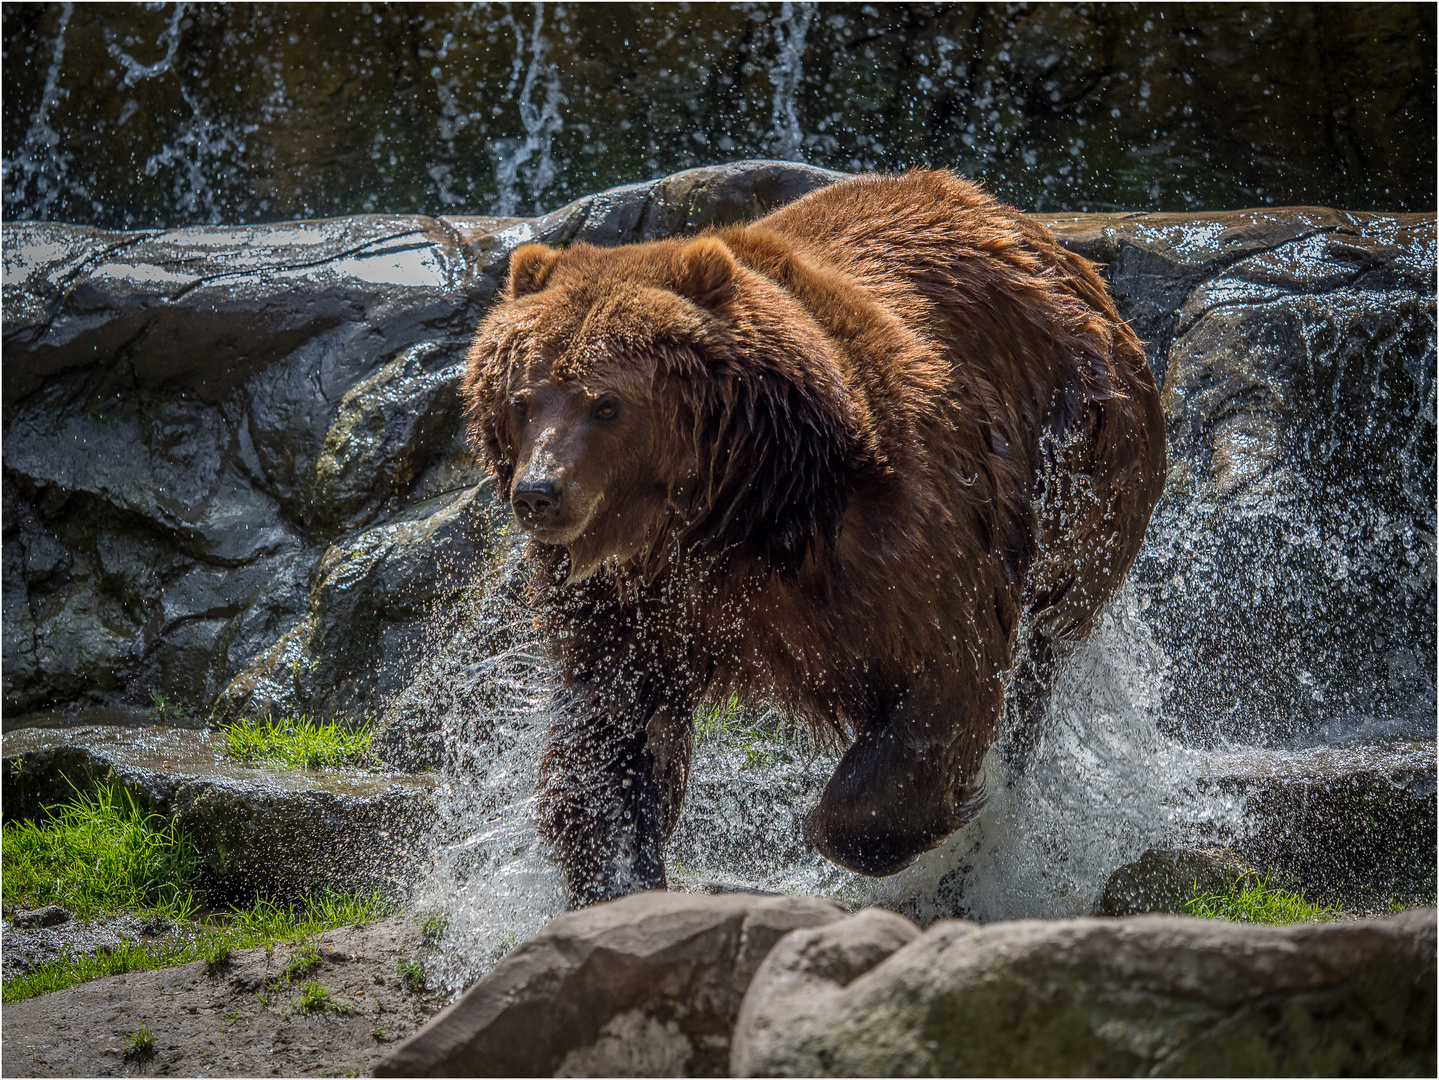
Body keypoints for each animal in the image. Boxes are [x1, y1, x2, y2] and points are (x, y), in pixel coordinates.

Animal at [466, 168, 1162, 908]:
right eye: (521, 399)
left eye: (605, 404)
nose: (538, 493)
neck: (730, 511)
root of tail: (1031, 229)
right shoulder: (631, 604)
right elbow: (606, 738)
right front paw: (614, 875)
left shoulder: (892, 541)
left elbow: (943, 676)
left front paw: (906, 824)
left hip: (1080, 453)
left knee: (1046, 640)